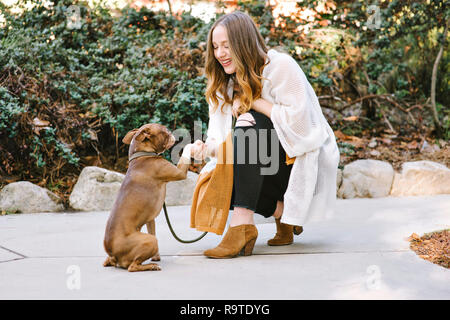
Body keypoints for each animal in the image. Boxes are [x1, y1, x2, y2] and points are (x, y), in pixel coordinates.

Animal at [103, 124, 191, 272]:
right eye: (165, 130)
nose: (172, 132)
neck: (142, 154)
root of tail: (113, 254)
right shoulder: (180, 172)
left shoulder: (150, 219)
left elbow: (153, 230)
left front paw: (156, 256)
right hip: (149, 241)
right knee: (132, 267)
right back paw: (151, 266)